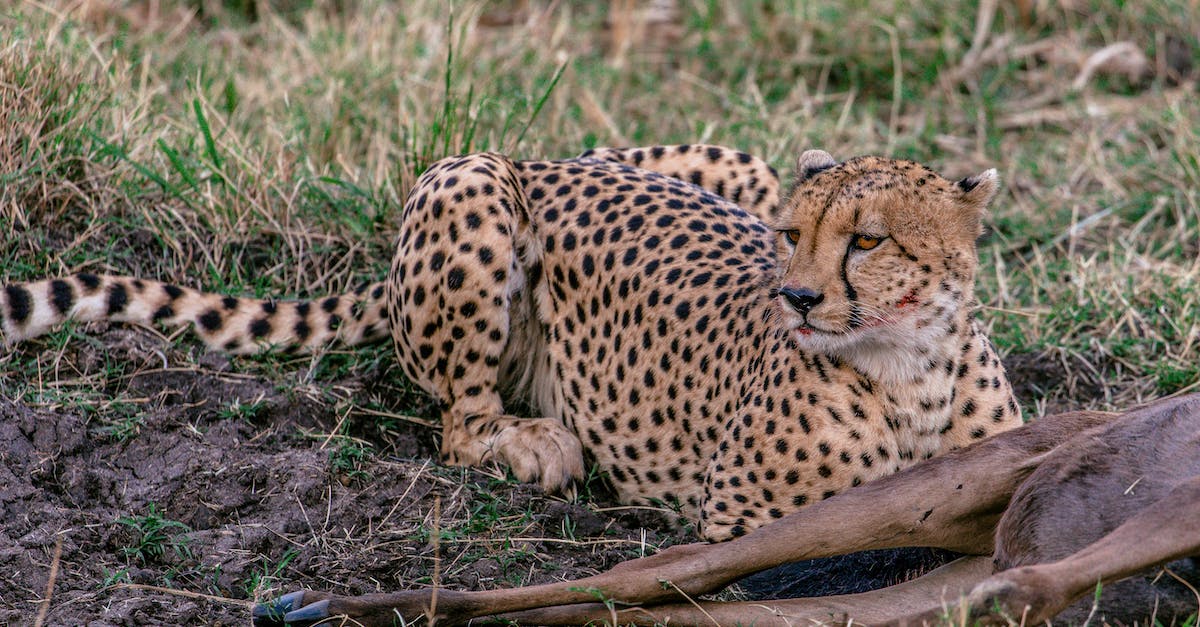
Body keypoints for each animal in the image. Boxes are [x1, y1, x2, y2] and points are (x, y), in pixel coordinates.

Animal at [1, 144, 1021, 542]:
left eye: (868, 240)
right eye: (790, 234)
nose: (799, 295)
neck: (910, 372)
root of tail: (554, 156)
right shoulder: (744, 518)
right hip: (468, 181)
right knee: (458, 420)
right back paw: (535, 442)